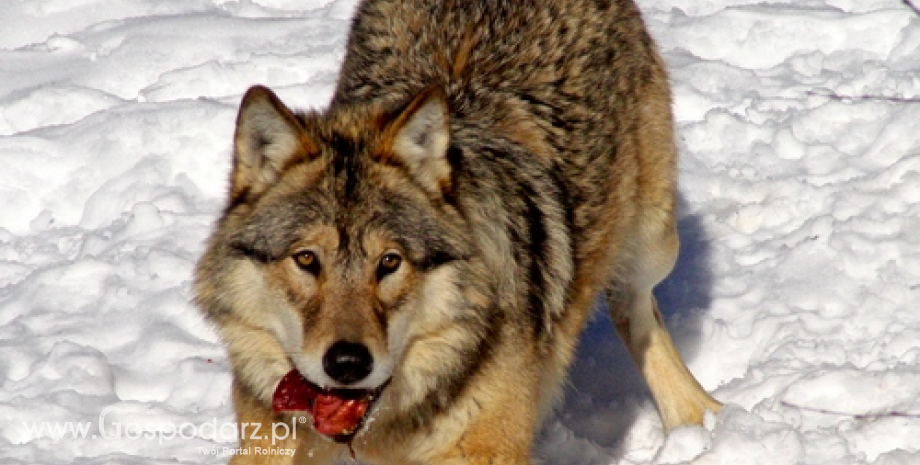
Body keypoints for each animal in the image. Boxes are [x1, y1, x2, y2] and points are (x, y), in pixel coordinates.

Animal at [194, 0, 724, 462]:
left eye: (390, 262)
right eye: (306, 259)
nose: (347, 364)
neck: (378, 431)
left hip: (653, 243)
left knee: (634, 306)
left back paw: (697, 417)